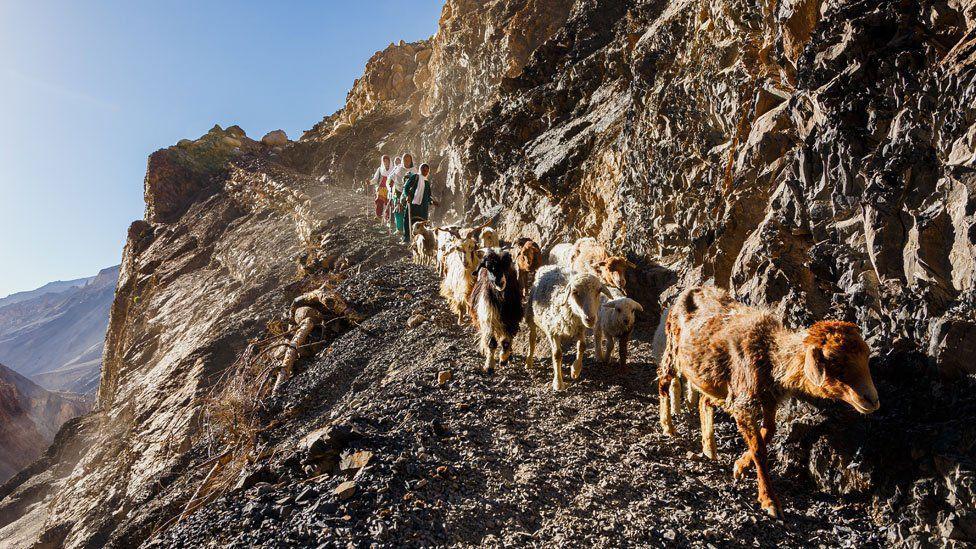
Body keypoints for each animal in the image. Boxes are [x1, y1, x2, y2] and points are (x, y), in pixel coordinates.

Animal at [660, 286, 880, 520]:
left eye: (866, 356)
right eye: (834, 361)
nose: (872, 399)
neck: (768, 351)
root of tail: (695, 288)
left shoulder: (770, 399)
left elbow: (769, 432)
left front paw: (740, 465)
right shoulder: (743, 402)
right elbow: (758, 448)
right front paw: (769, 500)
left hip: (709, 375)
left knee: (704, 401)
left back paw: (709, 448)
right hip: (672, 348)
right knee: (664, 381)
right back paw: (668, 426)